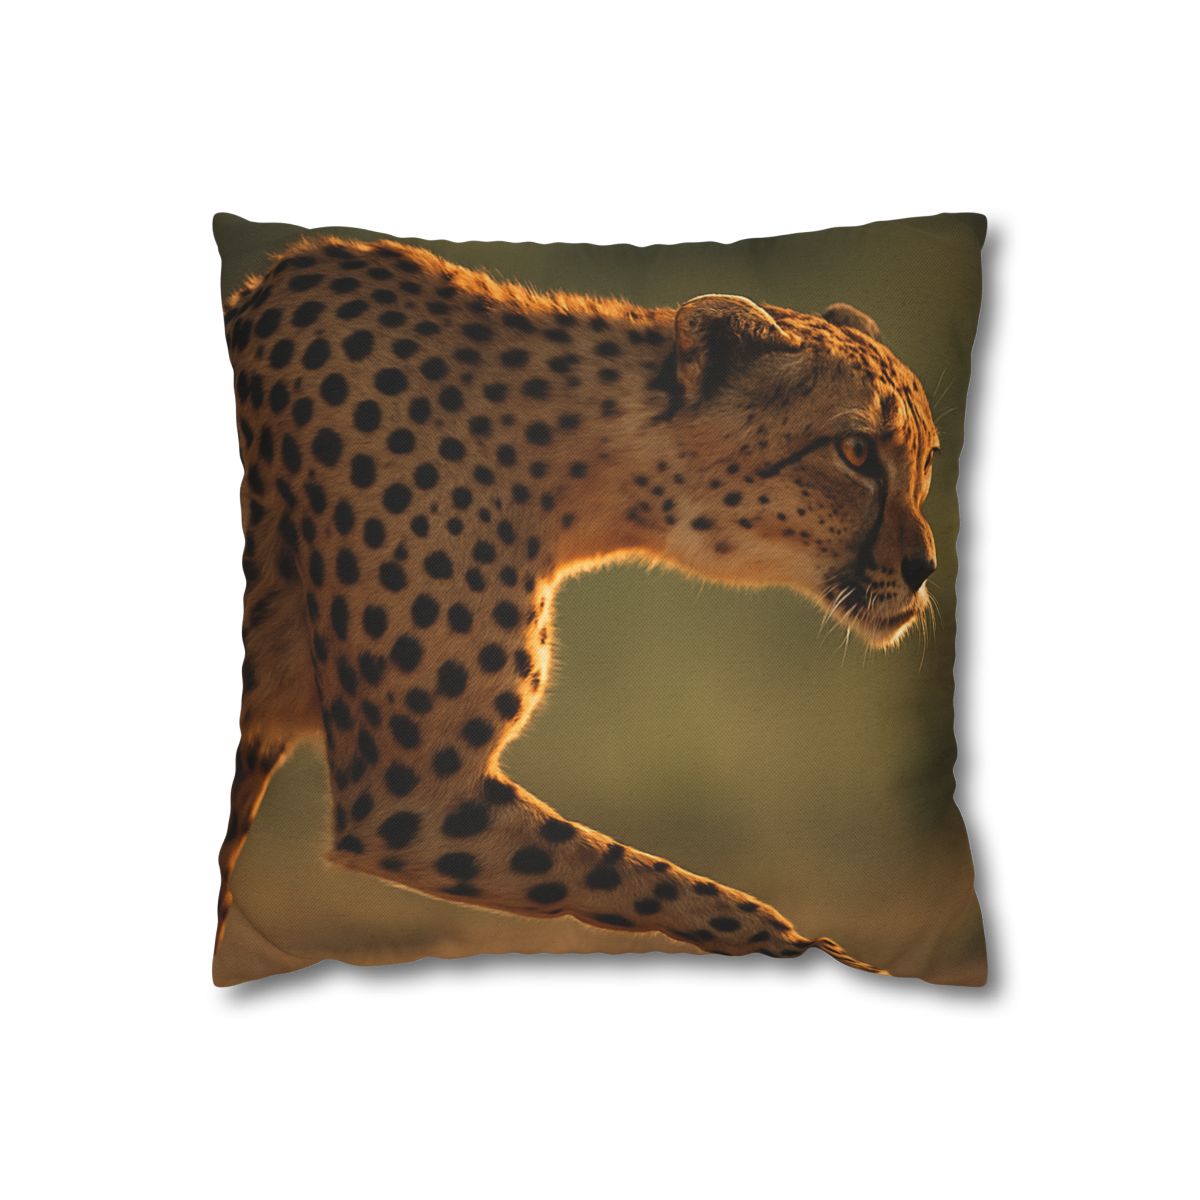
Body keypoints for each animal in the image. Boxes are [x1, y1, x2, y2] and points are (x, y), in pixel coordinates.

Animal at [217, 235, 940, 977]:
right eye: (854, 450)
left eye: (929, 458)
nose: (926, 569)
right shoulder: (406, 795)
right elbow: (660, 883)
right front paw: (829, 958)